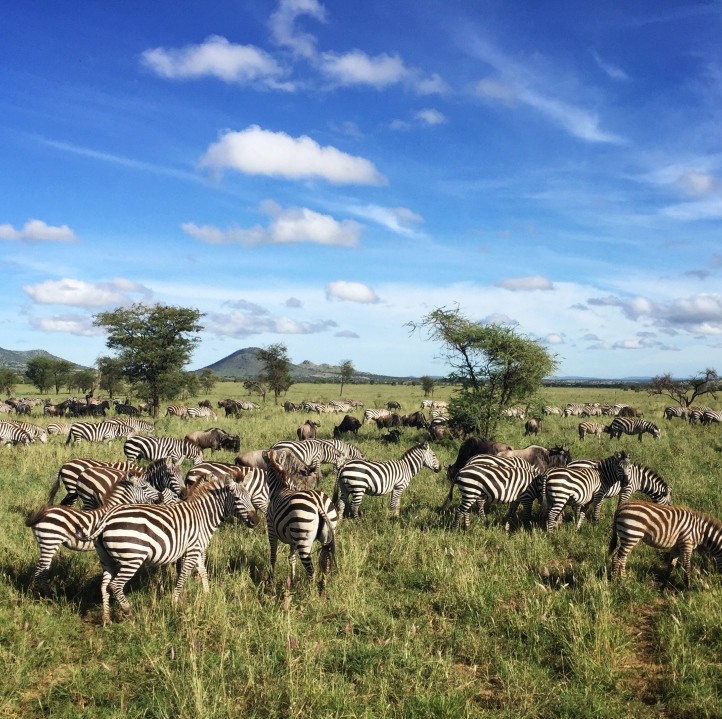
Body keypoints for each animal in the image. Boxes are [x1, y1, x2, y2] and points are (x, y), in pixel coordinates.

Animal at [25, 476, 163, 592]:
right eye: (145, 487)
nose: (161, 496)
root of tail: (42, 513)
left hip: (46, 543)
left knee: (42, 569)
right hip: (50, 541)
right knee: (40, 569)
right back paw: (42, 595)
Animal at [78, 472, 258, 624]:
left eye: (249, 497)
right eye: (236, 498)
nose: (255, 521)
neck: (203, 515)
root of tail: (107, 517)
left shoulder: (197, 549)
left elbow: (202, 572)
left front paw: (207, 595)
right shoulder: (192, 550)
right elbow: (183, 575)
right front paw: (175, 602)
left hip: (106, 559)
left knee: (104, 585)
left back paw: (106, 619)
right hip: (132, 558)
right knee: (115, 585)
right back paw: (130, 612)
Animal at [262, 448, 336, 584]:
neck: (280, 488)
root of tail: (318, 502)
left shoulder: (271, 529)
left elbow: (273, 555)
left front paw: (271, 578)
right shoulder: (293, 539)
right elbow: (292, 558)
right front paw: (292, 580)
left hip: (303, 539)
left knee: (311, 571)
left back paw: (310, 590)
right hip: (327, 535)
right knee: (325, 563)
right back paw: (322, 587)